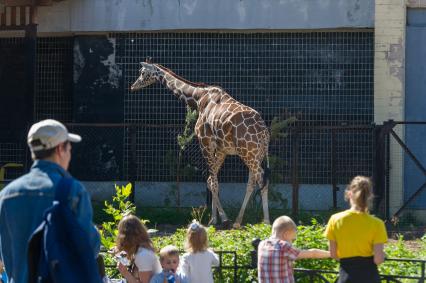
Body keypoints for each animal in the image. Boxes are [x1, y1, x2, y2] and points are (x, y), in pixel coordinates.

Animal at [131, 59, 270, 229]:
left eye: (142, 72)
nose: (133, 86)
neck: (198, 99)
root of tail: (264, 132)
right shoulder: (221, 149)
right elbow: (211, 180)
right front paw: (214, 219)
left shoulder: (205, 142)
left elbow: (213, 182)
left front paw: (223, 219)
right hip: (256, 154)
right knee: (252, 182)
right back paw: (238, 221)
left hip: (247, 152)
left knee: (261, 179)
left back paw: (266, 221)